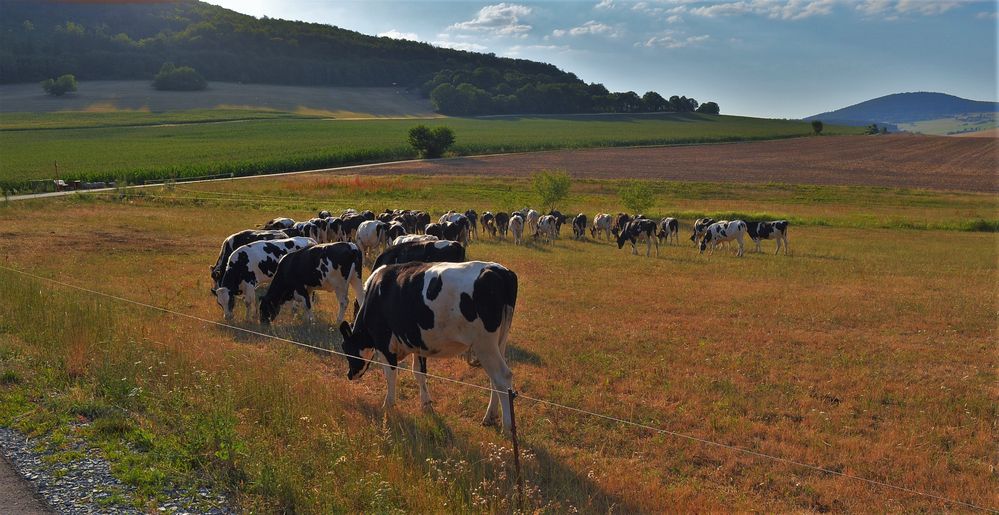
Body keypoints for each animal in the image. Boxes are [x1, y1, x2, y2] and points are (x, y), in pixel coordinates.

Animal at [340, 262, 520, 432]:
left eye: (347, 350)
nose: (349, 375)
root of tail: (500, 271)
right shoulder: (417, 343)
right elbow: (419, 373)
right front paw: (426, 405)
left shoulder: (384, 343)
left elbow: (391, 375)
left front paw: (388, 405)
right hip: (498, 342)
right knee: (494, 380)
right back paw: (490, 417)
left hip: (484, 344)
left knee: (502, 377)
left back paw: (507, 427)